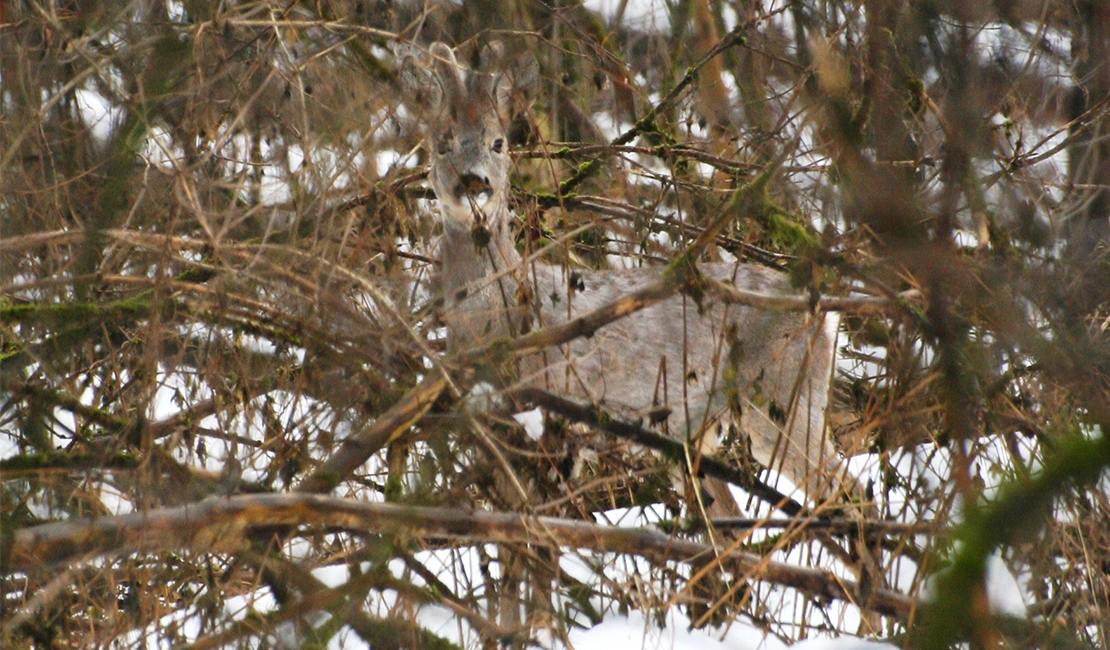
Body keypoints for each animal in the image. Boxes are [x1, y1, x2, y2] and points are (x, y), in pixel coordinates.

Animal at [399, 42, 848, 521]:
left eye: (498, 143)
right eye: (441, 145)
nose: (473, 181)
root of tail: (825, 318)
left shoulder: (548, 415)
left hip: (782, 393)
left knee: (846, 489)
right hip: (698, 431)